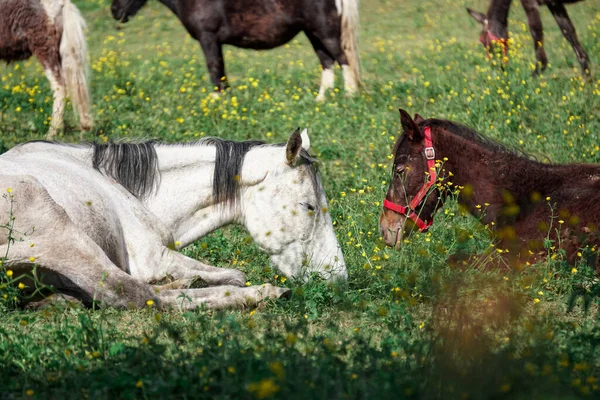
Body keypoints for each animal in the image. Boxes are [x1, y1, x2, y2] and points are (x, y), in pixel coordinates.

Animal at [0, 129, 346, 310]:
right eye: (309, 206)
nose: (338, 276)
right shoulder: (155, 257)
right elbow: (237, 274)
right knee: (136, 294)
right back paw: (264, 293)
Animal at [109, 0, 358, 101]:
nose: (114, 10)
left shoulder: (208, 38)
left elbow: (215, 68)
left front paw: (217, 100)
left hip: (324, 31)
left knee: (343, 59)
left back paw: (349, 95)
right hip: (313, 33)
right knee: (327, 61)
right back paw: (321, 99)